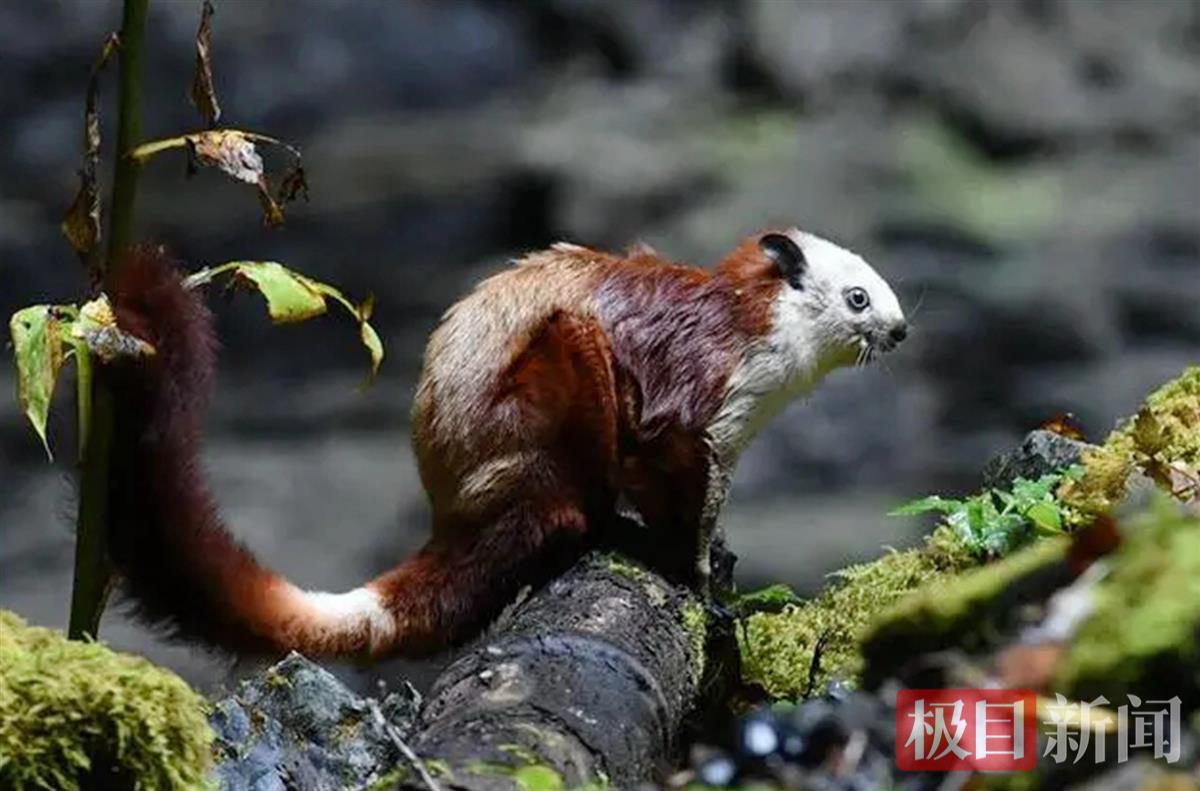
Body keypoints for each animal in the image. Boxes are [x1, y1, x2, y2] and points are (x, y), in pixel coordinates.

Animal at [108, 231, 902, 657]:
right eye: (858, 297)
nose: (900, 331)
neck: (759, 328)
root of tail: (457, 514)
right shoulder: (696, 395)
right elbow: (669, 471)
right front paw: (699, 582)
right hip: (541, 413)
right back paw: (593, 522)